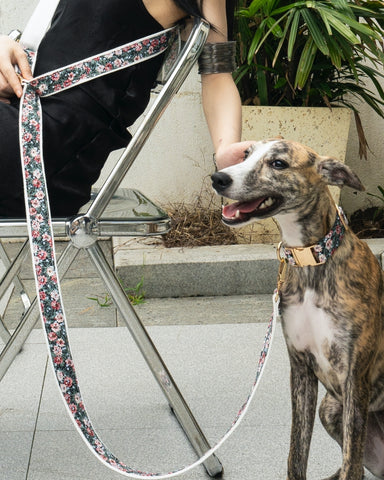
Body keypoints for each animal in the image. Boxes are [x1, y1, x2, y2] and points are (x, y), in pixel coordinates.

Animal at [212, 140, 384, 480]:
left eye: (278, 163)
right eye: (245, 154)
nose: (218, 178)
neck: (311, 261)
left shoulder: (354, 377)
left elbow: (351, 464)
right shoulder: (301, 368)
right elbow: (296, 454)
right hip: (329, 409)